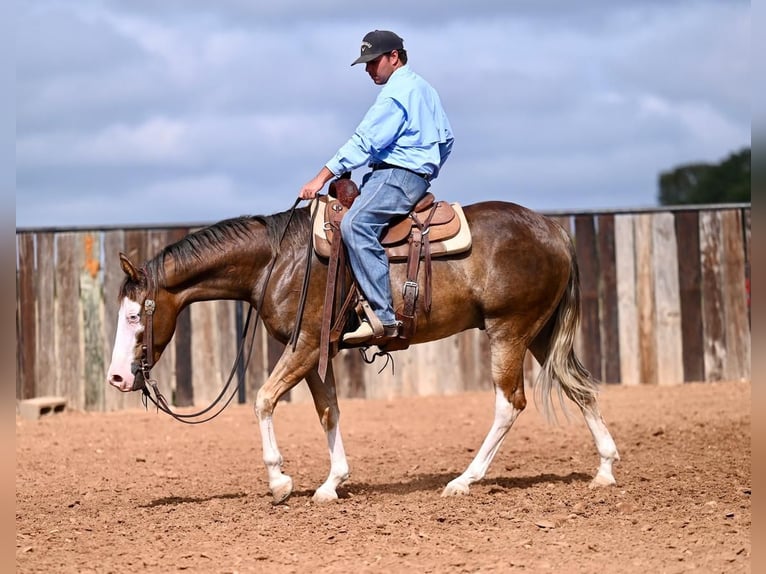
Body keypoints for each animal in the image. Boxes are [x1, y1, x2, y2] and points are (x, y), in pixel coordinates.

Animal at [108, 201, 620, 504]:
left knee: (509, 403)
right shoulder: (318, 352)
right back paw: (605, 470)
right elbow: (329, 411)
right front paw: (332, 483)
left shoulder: (304, 344)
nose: (118, 377)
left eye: (134, 316)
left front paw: (279, 482)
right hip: (541, 333)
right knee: (581, 389)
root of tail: (553, 228)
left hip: (508, 331)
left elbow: (264, 400)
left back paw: (463, 480)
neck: (279, 260)